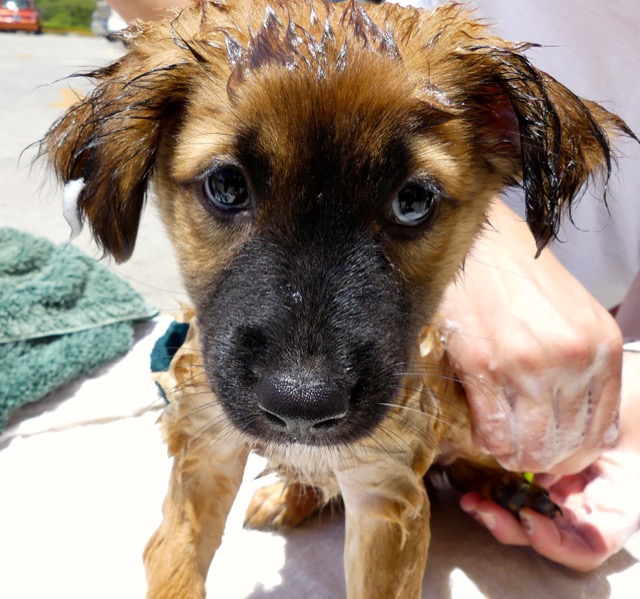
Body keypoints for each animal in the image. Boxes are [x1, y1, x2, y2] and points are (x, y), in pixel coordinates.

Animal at [42, 2, 632, 596]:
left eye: (413, 201)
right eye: (227, 187)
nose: (301, 405)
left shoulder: (385, 489)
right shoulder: (205, 448)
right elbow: (175, 563)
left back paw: (504, 485)